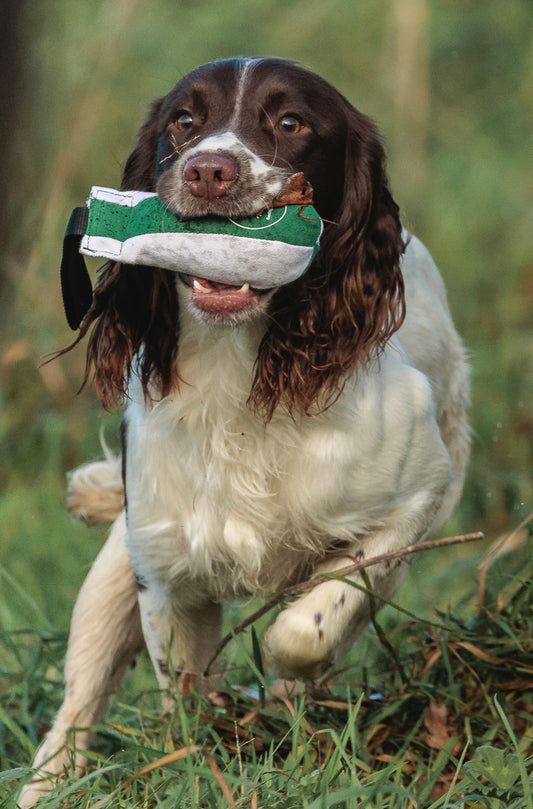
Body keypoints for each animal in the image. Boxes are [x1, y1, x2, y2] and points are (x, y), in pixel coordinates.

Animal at [18, 55, 468, 800]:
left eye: (289, 123)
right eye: (183, 121)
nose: (209, 170)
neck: (240, 375)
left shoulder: (416, 499)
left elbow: (309, 624)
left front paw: (283, 681)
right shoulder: (164, 569)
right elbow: (182, 696)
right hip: (112, 574)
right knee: (78, 701)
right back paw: (45, 786)